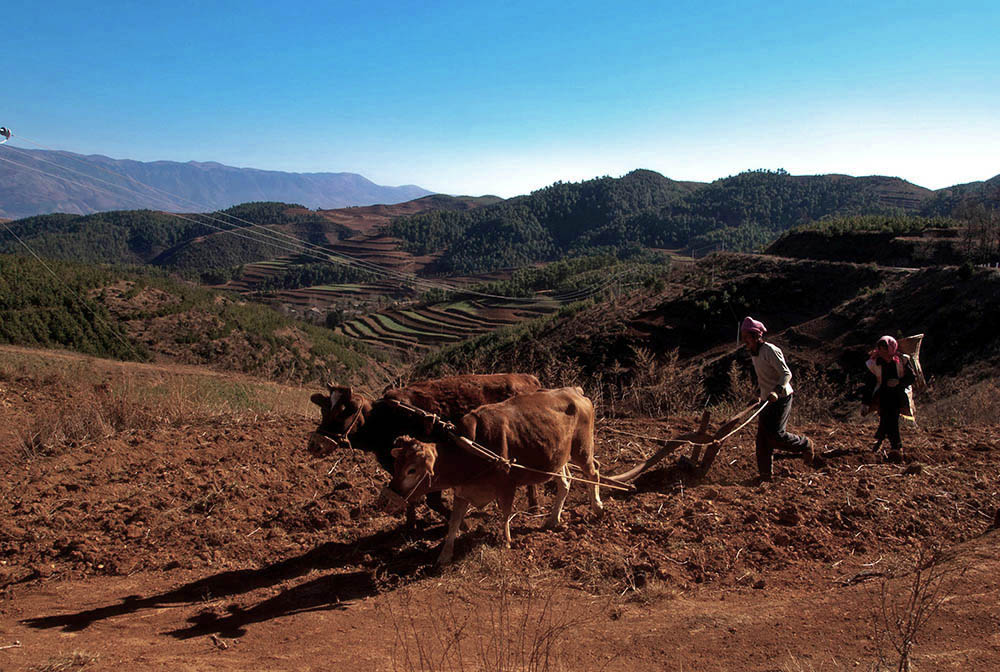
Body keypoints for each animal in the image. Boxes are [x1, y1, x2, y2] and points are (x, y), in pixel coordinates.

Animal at [382, 386, 600, 564]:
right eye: (396, 465)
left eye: (412, 470)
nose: (389, 496)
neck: (468, 452)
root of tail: (574, 390)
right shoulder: (462, 491)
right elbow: (453, 523)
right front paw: (445, 554)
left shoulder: (507, 486)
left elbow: (505, 515)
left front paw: (507, 542)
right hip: (558, 458)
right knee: (565, 482)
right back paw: (553, 520)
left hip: (582, 449)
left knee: (594, 471)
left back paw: (597, 507)